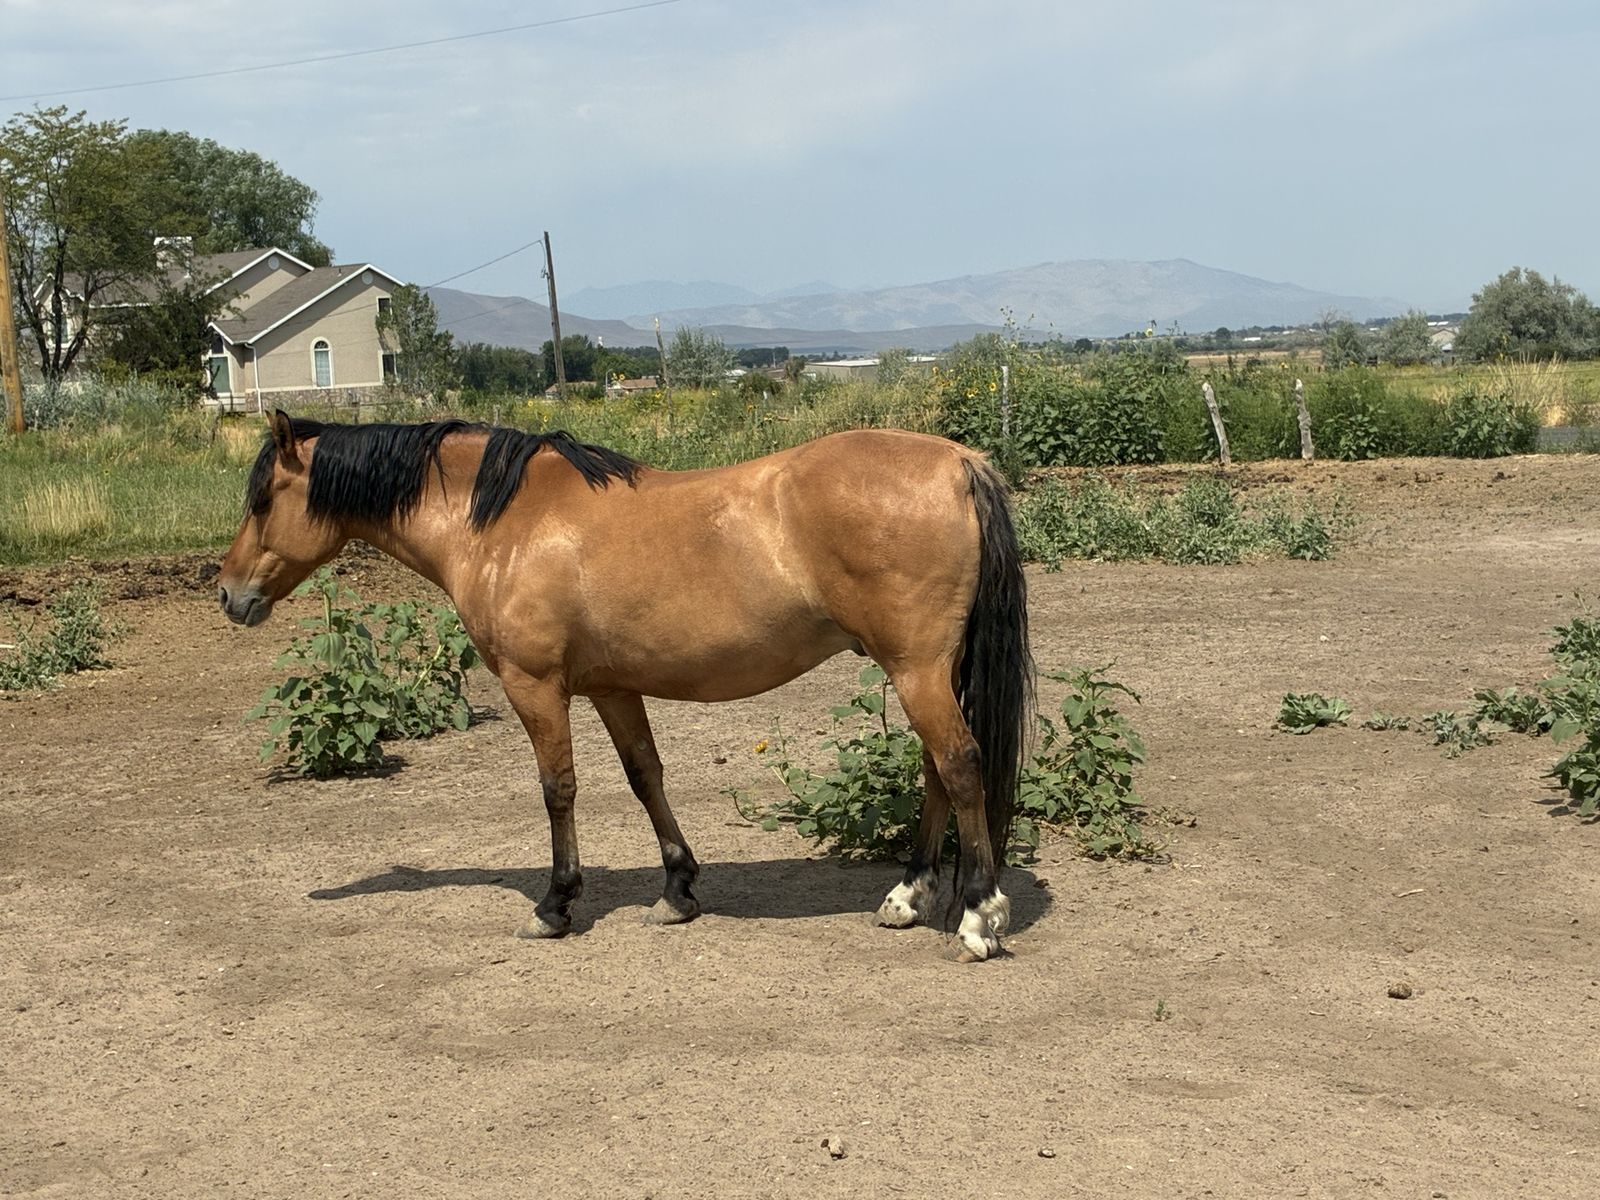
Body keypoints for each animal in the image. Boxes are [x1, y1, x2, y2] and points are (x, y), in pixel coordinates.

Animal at [218, 411, 1032, 961]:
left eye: (261, 500)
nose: (228, 593)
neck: (504, 520)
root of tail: (958, 462)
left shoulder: (536, 687)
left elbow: (559, 789)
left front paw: (555, 904)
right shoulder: (612, 687)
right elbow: (646, 778)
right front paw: (677, 892)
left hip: (917, 670)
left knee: (959, 765)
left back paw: (977, 915)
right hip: (920, 671)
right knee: (934, 769)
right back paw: (907, 896)